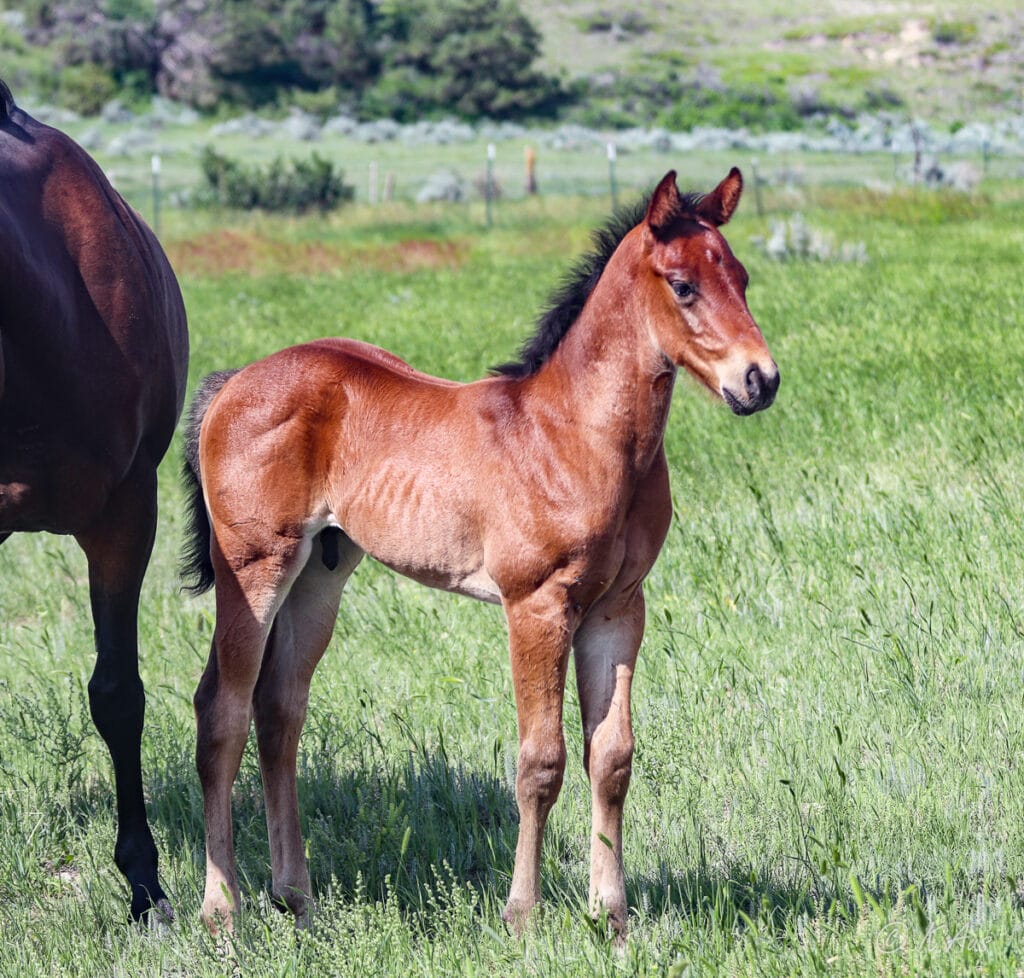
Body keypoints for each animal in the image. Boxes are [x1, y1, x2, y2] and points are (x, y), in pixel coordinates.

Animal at [182, 167, 774, 942]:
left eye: (742, 277)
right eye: (682, 285)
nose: (760, 380)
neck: (577, 434)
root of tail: (234, 381)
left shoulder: (618, 608)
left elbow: (612, 757)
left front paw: (610, 915)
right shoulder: (536, 606)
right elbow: (541, 761)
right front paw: (522, 913)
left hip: (318, 576)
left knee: (279, 710)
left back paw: (296, 897)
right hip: (253, 568)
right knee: (221, 710)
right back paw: (223, 907)